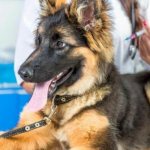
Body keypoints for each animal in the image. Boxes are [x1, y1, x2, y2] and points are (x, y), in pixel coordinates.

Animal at [0, 0, 150, 149]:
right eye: (38, 40)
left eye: (60, 44)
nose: (21, 73)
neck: (65, 100)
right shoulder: (27, 131)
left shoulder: (93, 142)